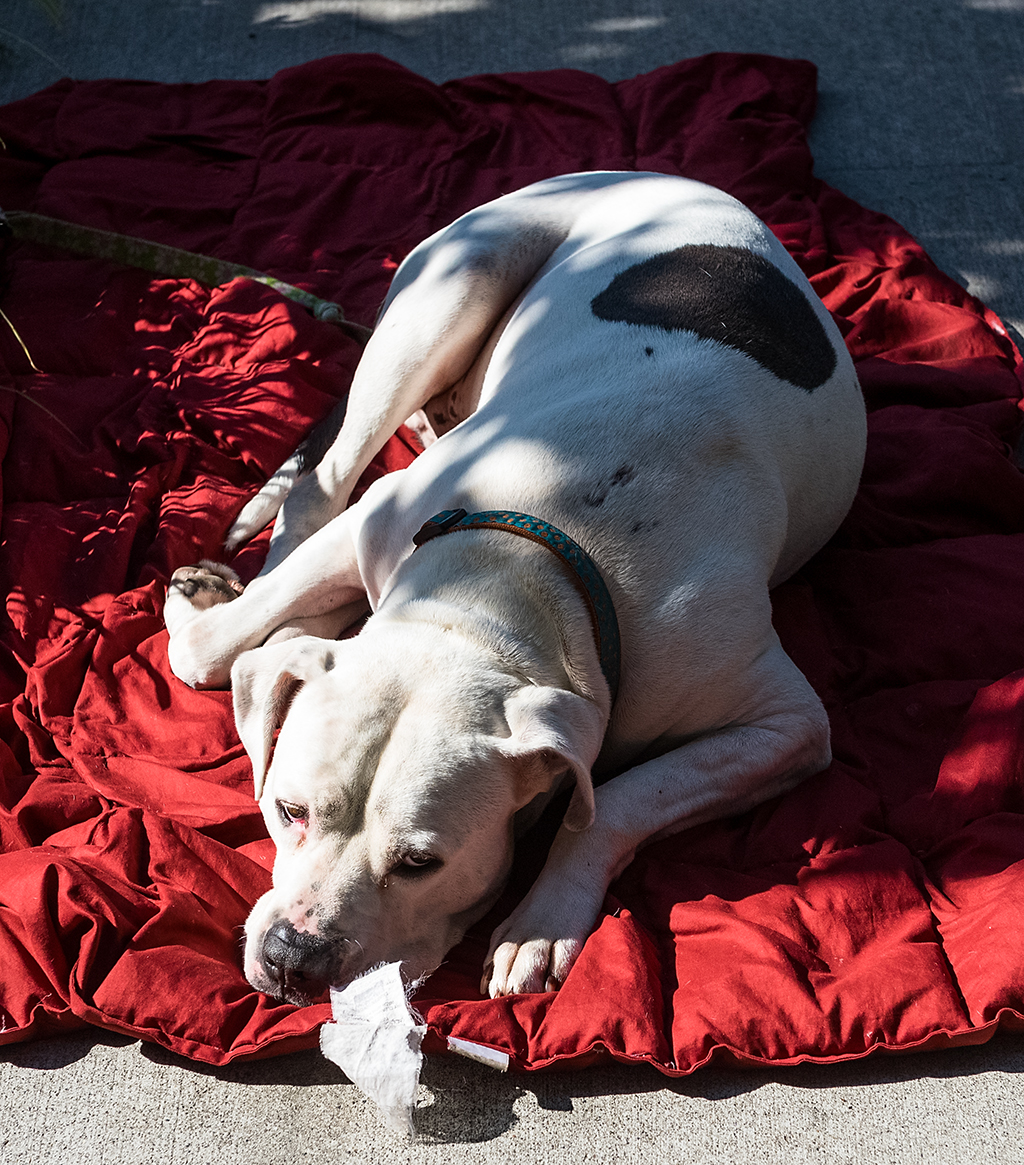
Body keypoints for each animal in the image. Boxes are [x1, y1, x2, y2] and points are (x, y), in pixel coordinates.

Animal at [164, 170, 866, 1001]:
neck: (513, 575)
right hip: (452, 289)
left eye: (420, 862)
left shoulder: (785, 726)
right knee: (323, 484)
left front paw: (542, 918)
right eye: (288, 809)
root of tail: (662, 176)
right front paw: (231, 620)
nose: (292, 958)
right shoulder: (383, 514)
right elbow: (204, 651)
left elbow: (615, 798)